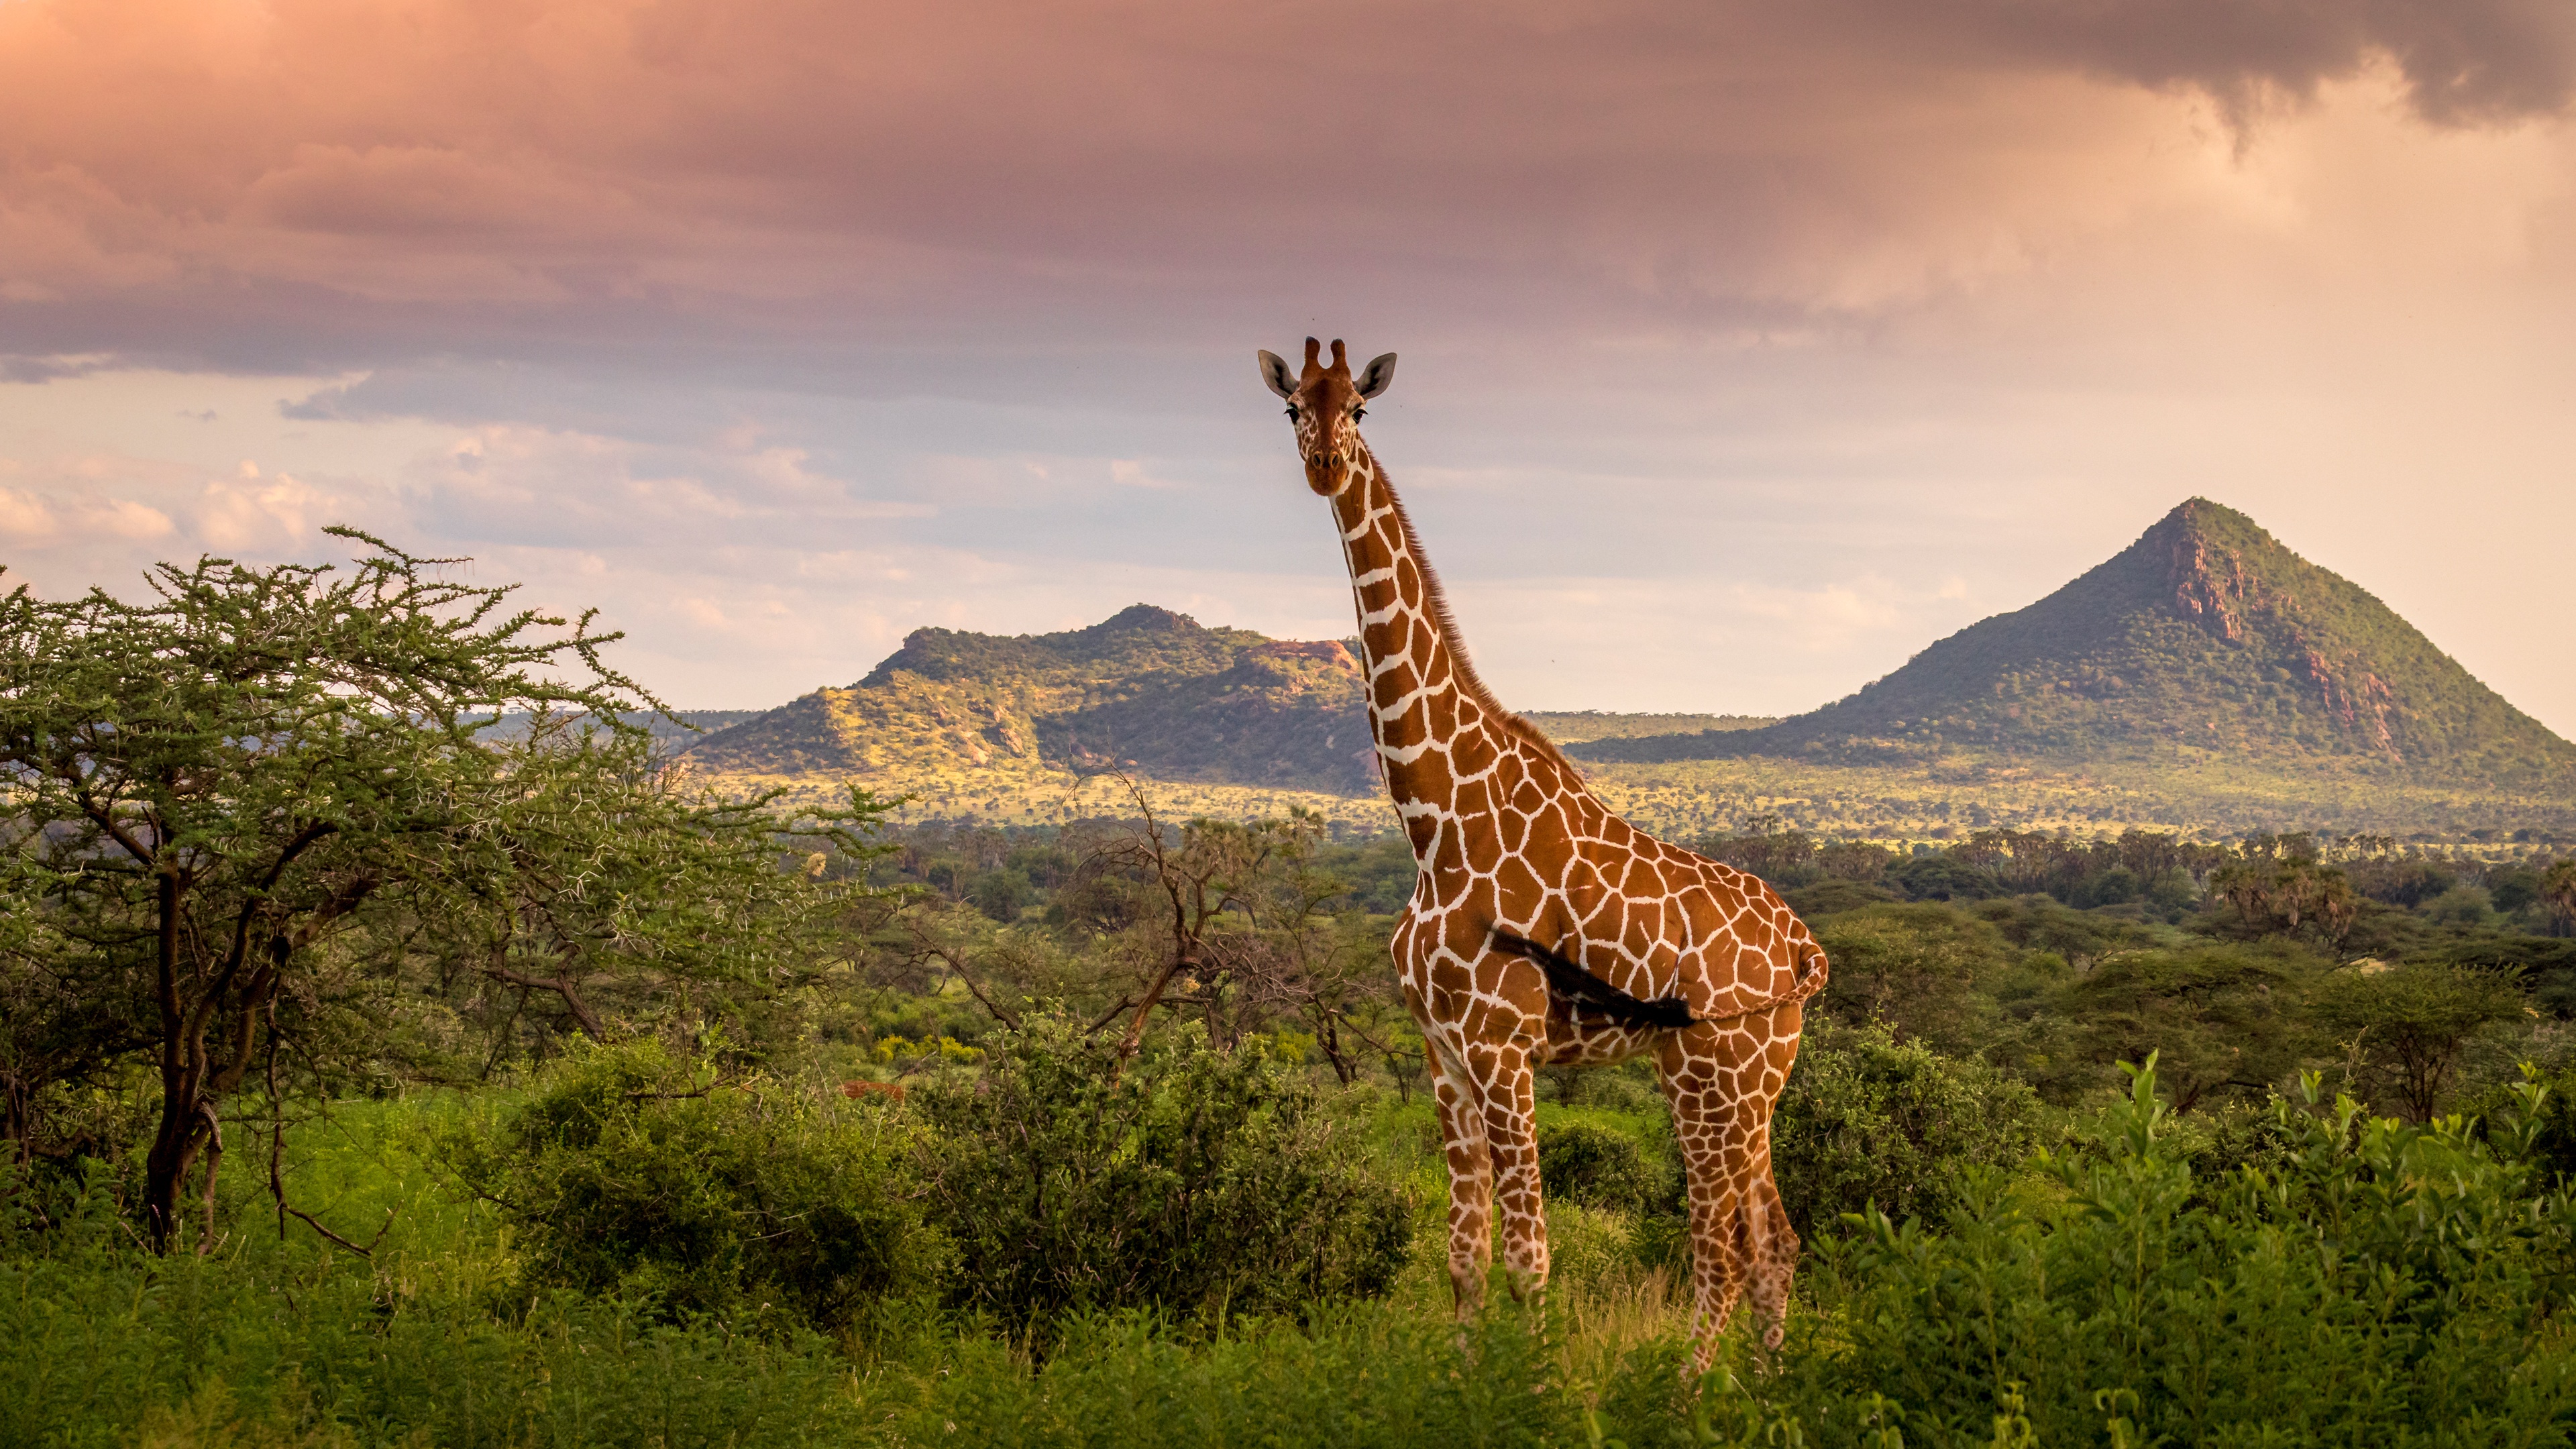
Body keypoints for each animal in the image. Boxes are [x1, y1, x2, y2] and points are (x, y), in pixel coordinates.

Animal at [1258, 337, 1829, 1373]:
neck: (1435, 820)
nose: (1324, 463)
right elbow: (1463, 1255)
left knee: (1724, 1248)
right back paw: (1765, 1389)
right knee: (1774, 1241)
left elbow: (1530, 1257)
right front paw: (1465, 1382)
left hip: (1719, 1075)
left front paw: (1537, 1388)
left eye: (1360, 406)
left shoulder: (1504, 1045)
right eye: (1293, 408)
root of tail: (1804, 947)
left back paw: (1687, 1392)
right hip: (1744, 1079)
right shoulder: (1443, 1050)